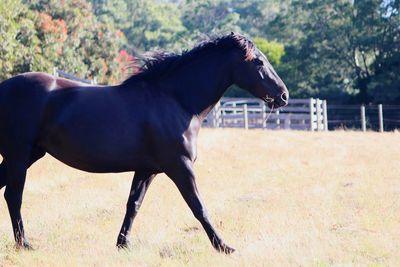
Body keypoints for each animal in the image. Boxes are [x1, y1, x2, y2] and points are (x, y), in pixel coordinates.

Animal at [0, 32, 288, 254]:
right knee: (14, 196)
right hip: (18, 155)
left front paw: (122, 244)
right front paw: (224, 247)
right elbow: (198, 207)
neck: (177, 100)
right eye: (259, 62)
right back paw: (25, 244)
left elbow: (133, 205)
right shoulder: (180, 166)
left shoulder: (147, 170)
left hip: (29, 154)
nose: (283, 95)